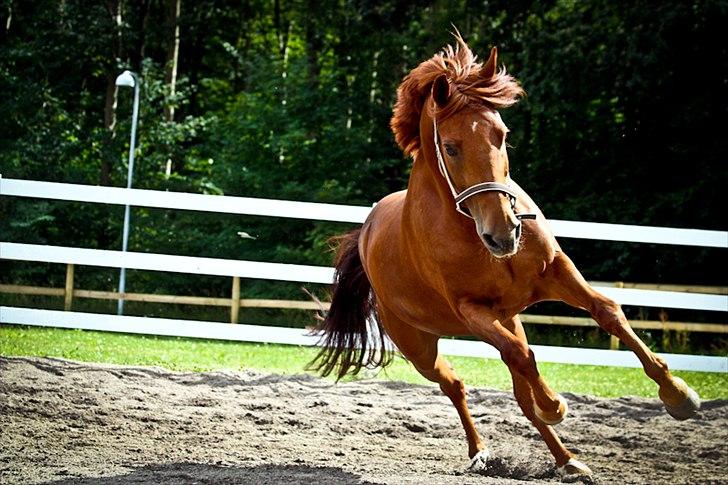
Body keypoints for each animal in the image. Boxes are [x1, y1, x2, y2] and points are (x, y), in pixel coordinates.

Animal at [310, 36, 704, 476]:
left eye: (501, 134)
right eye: (450, 147)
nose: (503, 234)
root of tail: (367, 231)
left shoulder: (557, 272)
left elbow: (607, 312)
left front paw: (679, 395)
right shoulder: (473, 311)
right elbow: (522, 357)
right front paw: (555, 404)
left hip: (509, 319)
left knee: (518, 393)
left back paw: (568, 462)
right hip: (421, 346)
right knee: (458, 384)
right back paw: (482, 451)